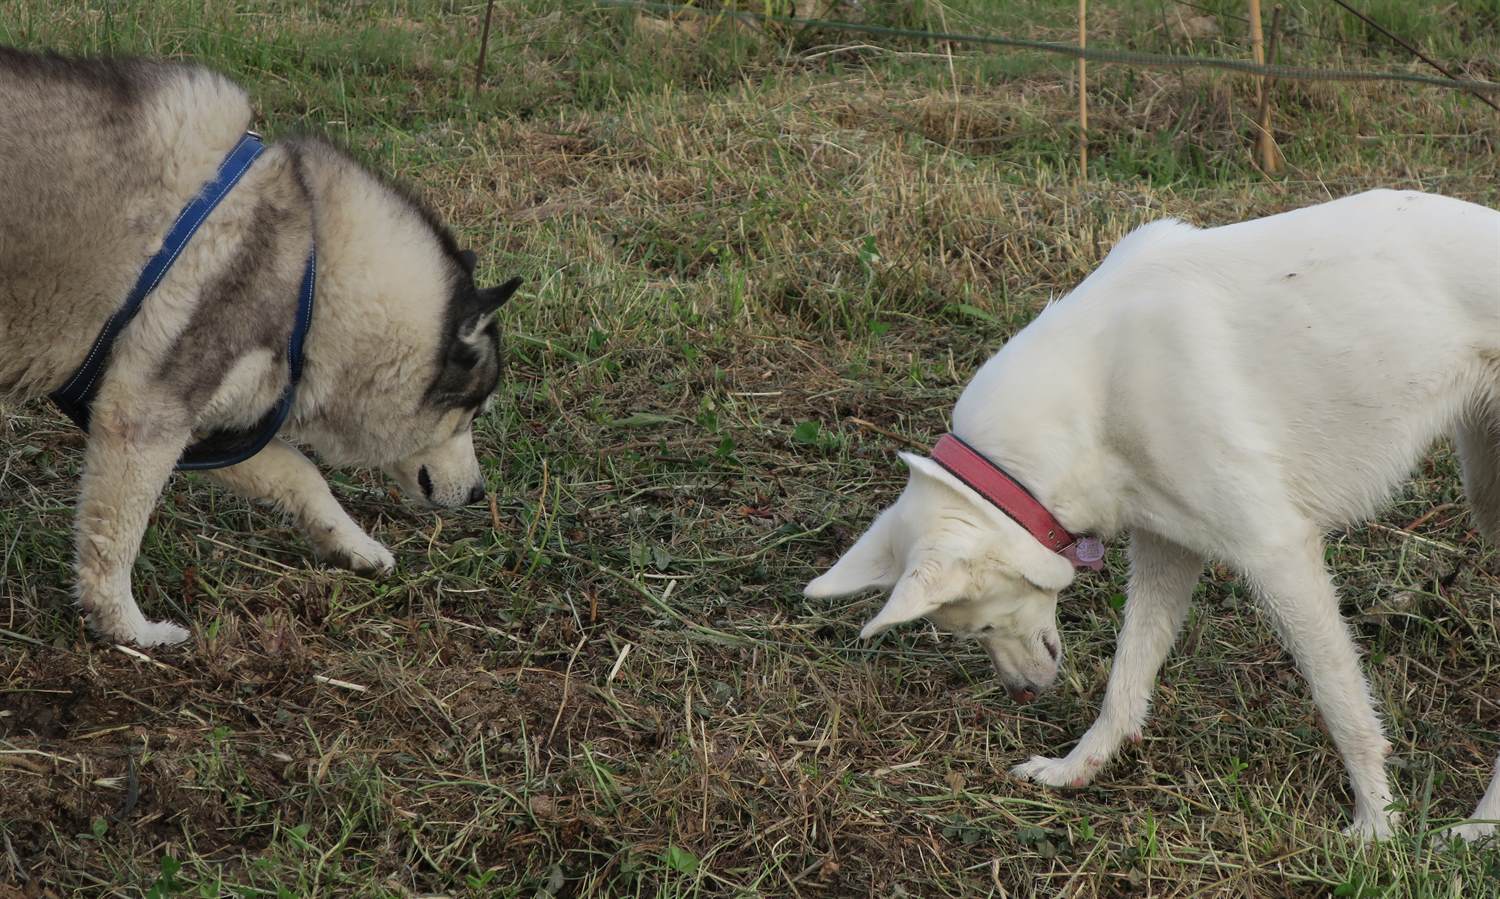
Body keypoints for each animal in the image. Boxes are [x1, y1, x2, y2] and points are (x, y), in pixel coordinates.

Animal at [1, 48, 520, 647]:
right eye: (473, 412)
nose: (480, 494)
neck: (317, 271)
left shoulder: (208, 432)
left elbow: (303, 474)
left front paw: (353, 545)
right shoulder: (141, 418)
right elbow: (116, 545)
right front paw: (129, 629)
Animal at [806, 189, 1500, 842]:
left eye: (977, 628)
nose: (1024, 696)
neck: (1092, 389)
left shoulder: (1278, 555)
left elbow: (1342, 705)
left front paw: (1376, 825)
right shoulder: (1167, 548)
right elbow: (1126, 680)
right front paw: (1076, 770)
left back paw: (1475, 830)